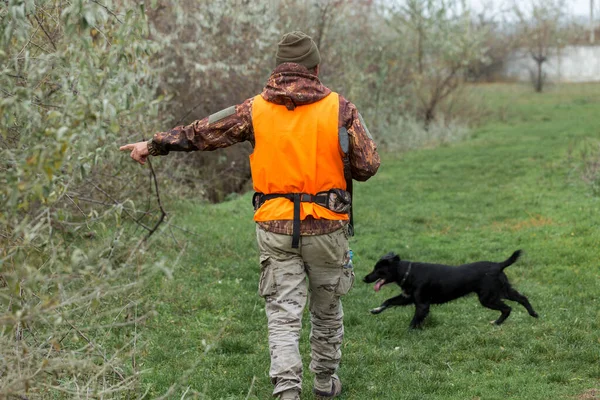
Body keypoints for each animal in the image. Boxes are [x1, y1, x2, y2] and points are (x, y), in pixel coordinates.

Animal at [360, 250, 540, 328]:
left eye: (378, 269)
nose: (364, 278)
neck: (407, 272)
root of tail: (498, 265)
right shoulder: (408, 298)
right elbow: (388, 301)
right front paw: (376, 310)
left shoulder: (422, 304)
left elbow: (414, 321)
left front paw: (409, 332)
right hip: (501, 291)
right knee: (521, 298)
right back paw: (533, 314)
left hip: (488, 297)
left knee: (508, 308)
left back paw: (497, 322)